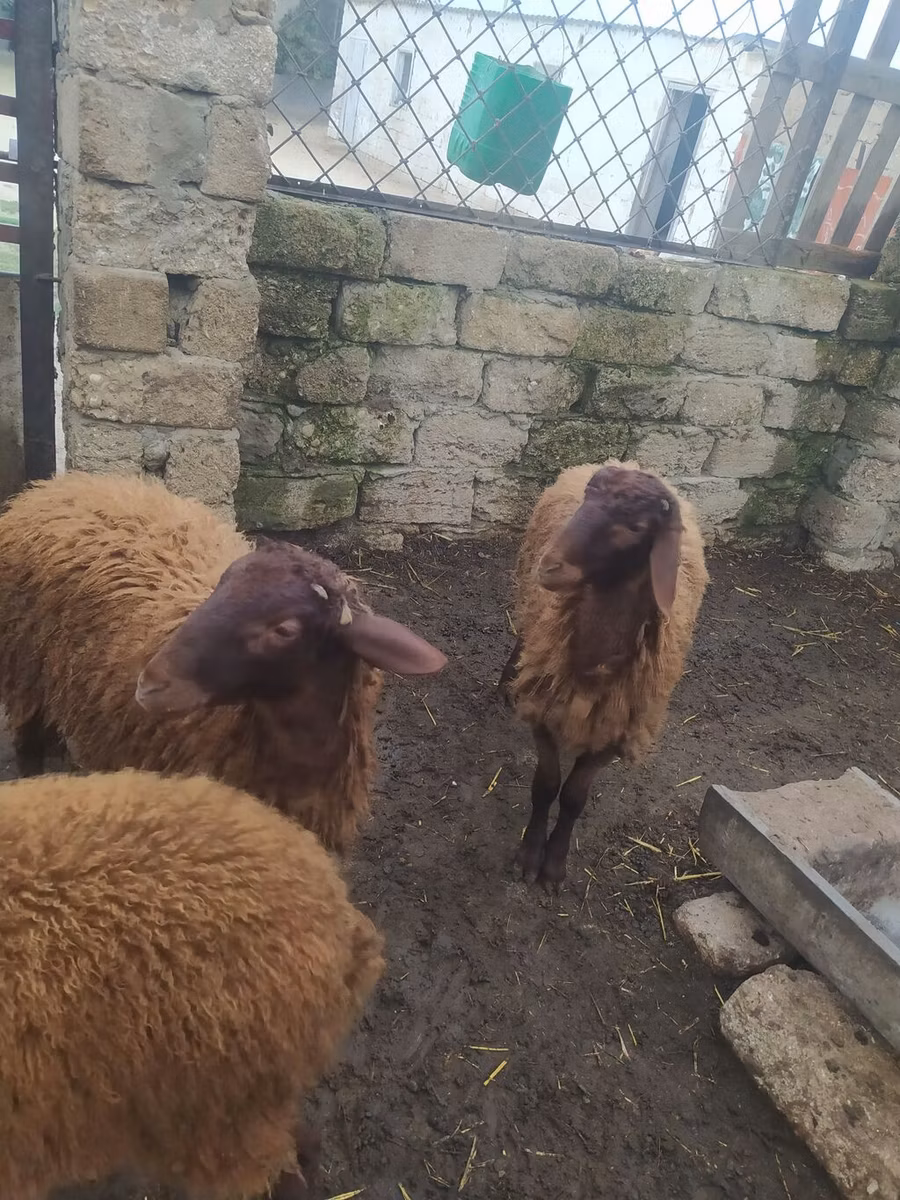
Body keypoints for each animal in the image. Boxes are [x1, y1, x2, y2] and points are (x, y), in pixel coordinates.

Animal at [0, 472, 447, 853]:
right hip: (24, 666)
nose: (149, 684)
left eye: (284, 630)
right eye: (221, 584)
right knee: (28, 742)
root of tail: (53, 488)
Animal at [499, 461, 709, 889]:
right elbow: (546, 786)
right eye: (587, 500)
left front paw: (554, 865)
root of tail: (634, 463)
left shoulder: (615, 731)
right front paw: (529, 857)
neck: (592, 668)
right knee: (523, 633)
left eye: (636, 527)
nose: (550, 565)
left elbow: (574, 798)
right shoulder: (543, 710)